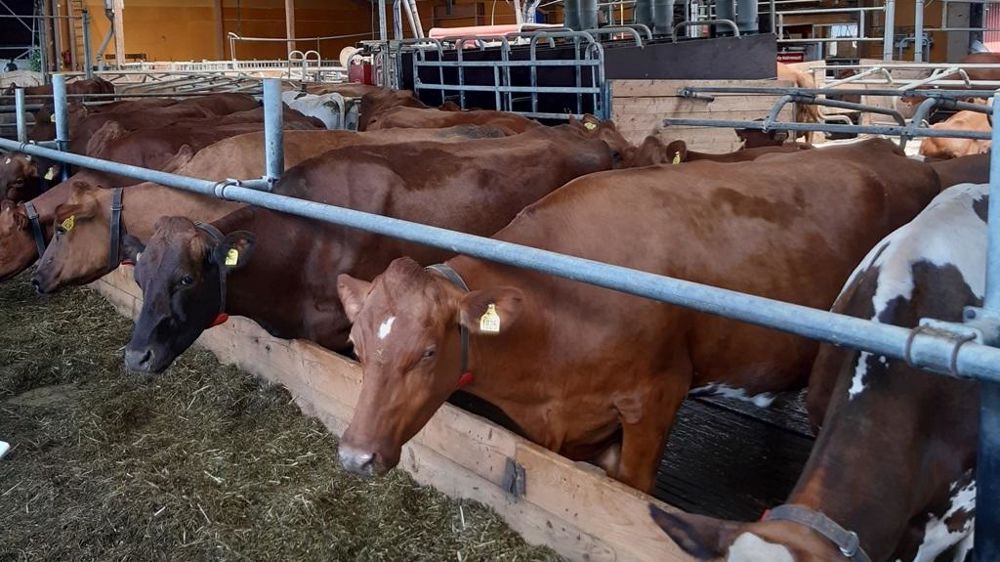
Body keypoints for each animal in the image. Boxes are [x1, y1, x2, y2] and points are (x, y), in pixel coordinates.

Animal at [333, 140, 941, 492]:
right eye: (357, 347)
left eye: (428, 352)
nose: (355, 456)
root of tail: (889, 152)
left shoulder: (656, 395)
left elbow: (633, 485)